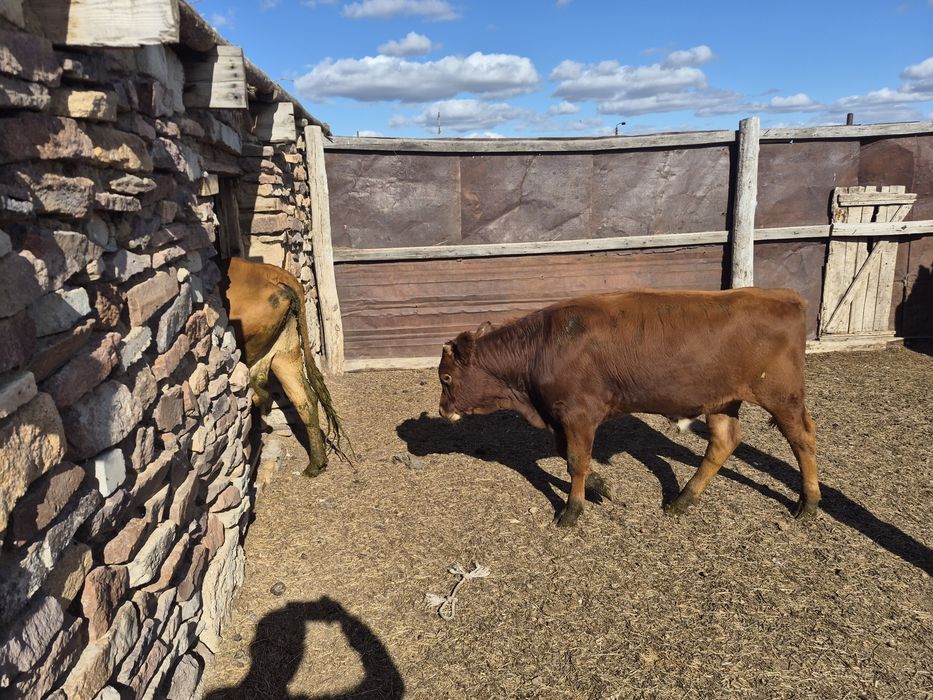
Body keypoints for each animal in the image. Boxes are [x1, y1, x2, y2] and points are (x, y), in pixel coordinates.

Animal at [221, 257, 346, 477]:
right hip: (286, 350)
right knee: (304, 399)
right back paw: (316, 464)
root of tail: (273, 275)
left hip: (249, 342)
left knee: (253, 383)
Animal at [437, 288, 820, 527]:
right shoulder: (560, 416)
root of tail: (783, 296)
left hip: (782, 396)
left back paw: (810, 501)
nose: (442, 411)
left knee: (802, 439)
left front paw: (572, 510)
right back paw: (683, 500)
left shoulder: (578, 414)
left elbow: (575, 461)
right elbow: (571, 457)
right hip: (722, 400)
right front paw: (601, 487)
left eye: (446, 377)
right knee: (723, 442)